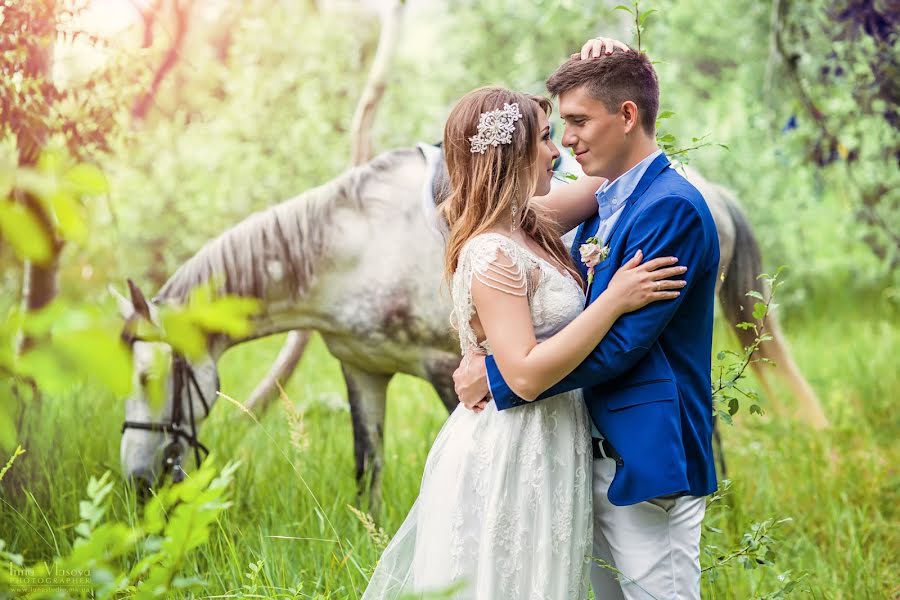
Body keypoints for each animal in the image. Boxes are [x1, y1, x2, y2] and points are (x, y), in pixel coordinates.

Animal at [114, 143, 828, 504]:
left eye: (152, 376)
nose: (138, 478)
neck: (354, 246)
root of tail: (708, 189)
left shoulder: (447, 369)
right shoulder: (361, 371)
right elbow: (367, 470)